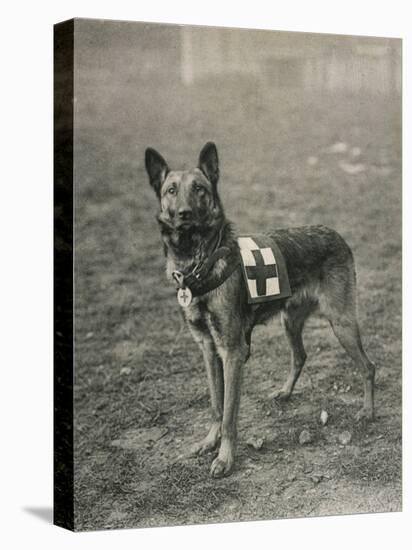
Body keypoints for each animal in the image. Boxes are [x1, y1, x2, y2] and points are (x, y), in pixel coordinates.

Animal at [143, 141, 374, 478]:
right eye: (171, 190)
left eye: (199, 188)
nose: (184, 214)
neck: (199, 261)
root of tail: (334, 233)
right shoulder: (208, 350)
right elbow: (216, 405)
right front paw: (209, 441)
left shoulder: (232, 352)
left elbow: (229, 414)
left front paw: (225, 458)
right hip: (291, 321)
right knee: (300, 356)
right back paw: (286, 392)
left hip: (341, 322)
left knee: (368, 367)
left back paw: (368, 411)